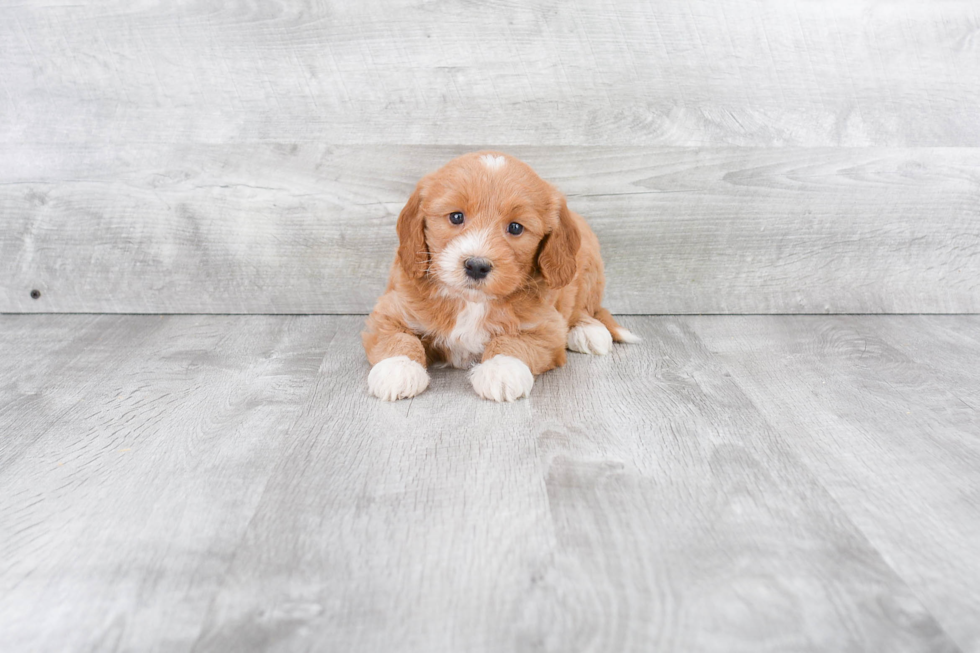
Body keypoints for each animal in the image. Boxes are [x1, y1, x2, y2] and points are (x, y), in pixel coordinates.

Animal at [364, 150, 640, 400]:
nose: (476, 266)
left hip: (589, 268)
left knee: (585, 308)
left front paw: (501, 369)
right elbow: (397, 337)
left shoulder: (547, 329)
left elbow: (514, 342)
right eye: (456, 216)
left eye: (515, 227)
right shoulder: (389, 310)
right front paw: (398, 369)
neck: (472, 302)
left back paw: (588, 331)